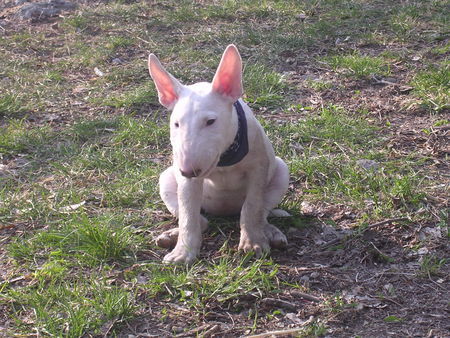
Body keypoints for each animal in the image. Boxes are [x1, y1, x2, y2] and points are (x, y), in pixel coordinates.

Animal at [148, 44, 288, 264]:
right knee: (199, 220)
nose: (187, 171)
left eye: (210, 121)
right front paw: (183, 253)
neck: (224, 160)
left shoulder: (259, 168)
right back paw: (170, 236)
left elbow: (252, 206)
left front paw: (253, 243)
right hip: (166, 178)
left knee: (262, 212)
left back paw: (271, 232)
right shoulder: (187, 181)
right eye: (176, 124)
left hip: (282, 171)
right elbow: (188, 215)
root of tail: (224, 212)